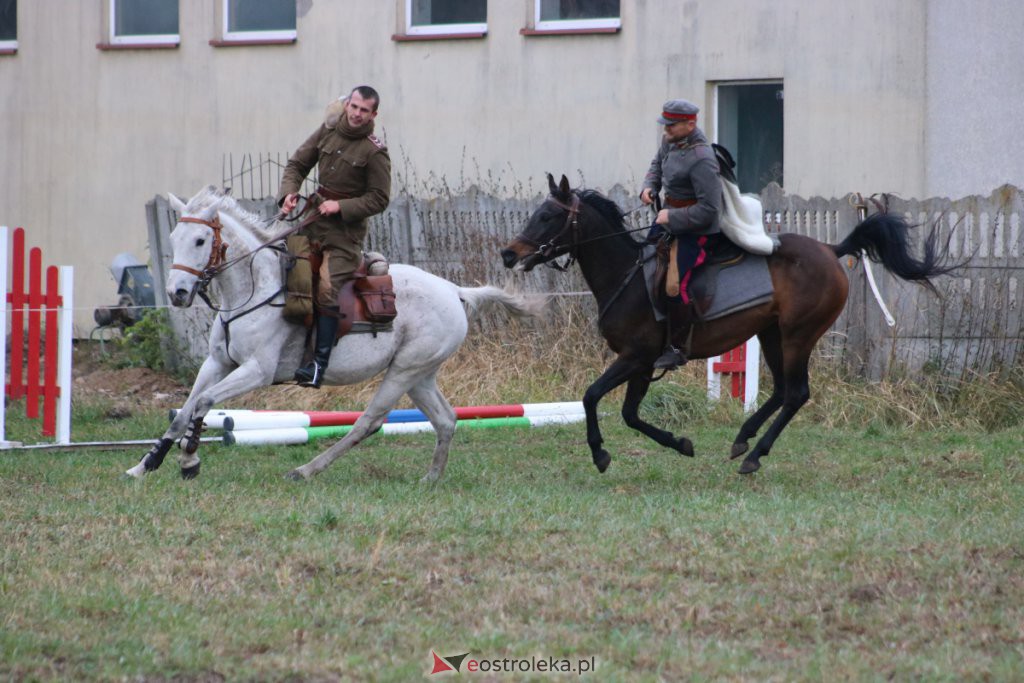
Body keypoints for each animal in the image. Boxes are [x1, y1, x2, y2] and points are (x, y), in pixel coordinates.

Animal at [125, 185, 536, 481]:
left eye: (200, 241)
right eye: (174, 237)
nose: (177, 293)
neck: (253, 291)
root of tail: (453, 290)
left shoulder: (257, 371)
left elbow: (204, 403)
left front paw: (188, 460)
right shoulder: (217, 363)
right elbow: (185, 410)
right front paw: (146, 465)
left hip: (404, 371)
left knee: (369, 422)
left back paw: (306, 470)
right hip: (420, 375)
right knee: (446, 419)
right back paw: (431, 478)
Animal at [499, 175, 954, 475]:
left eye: (547, 216)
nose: (508, 253)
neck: (626, 275)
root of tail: (831, 249)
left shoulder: (635, 358)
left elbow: (591, 396)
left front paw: (599, 454)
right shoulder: (642, 365)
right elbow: (628, 414)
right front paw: (680, 444)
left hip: (798, 335)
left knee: (797, 393)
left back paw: (754, 454)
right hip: (771, 334)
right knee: (783, 391)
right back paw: (743, 438)